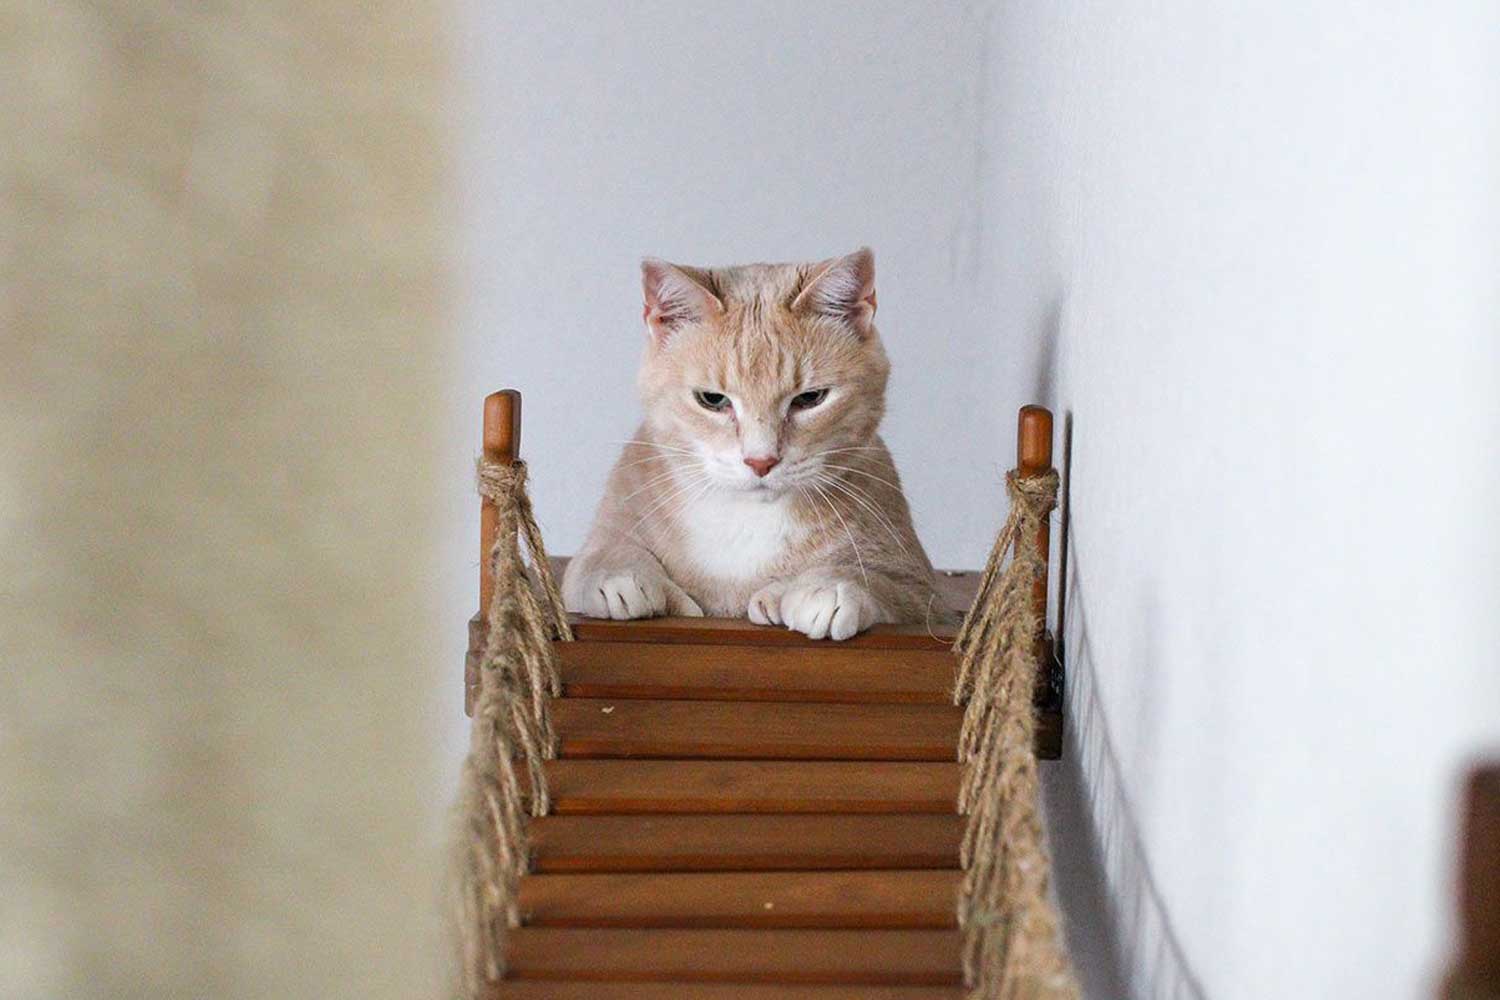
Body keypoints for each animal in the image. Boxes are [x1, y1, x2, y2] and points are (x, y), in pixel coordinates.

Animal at [564, 248, 936, 641]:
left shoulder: (921, 589)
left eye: (810, 398)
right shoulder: (603, 537)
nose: (761, 461)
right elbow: (603, 556)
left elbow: (876, 581)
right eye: (712, 399)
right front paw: (620, 577)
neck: (744, 520)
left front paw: (828, 588)